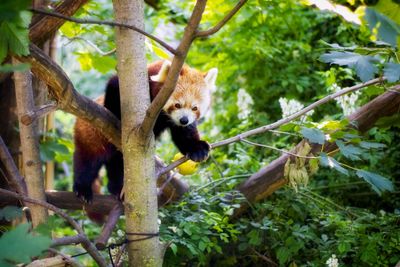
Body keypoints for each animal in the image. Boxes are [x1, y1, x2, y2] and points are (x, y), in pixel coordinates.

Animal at [73, 60, 217, 203]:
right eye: (177, 105)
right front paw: (116, 116)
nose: (184, 120)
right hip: (90, 136)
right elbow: (113, 86)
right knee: (88, 162)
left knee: (118, 165)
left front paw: (198, 149)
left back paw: (117, 188)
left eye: (194, 108)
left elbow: (184, 136)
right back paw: (82, 189)